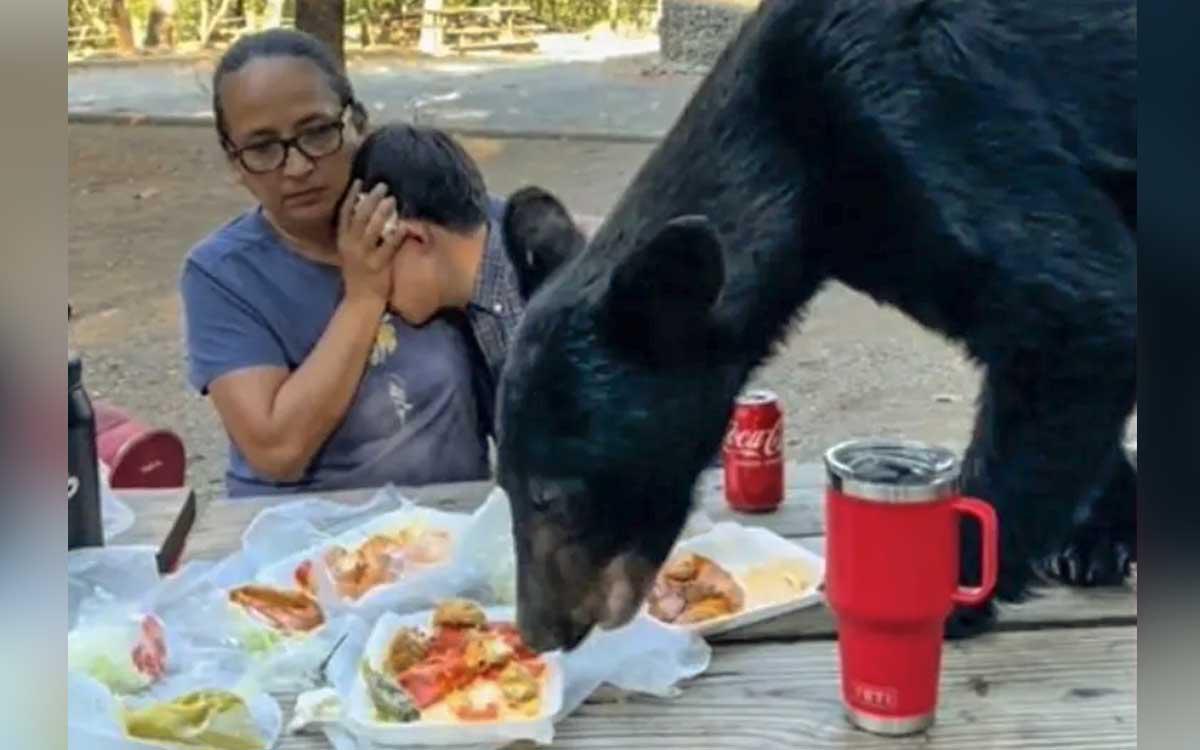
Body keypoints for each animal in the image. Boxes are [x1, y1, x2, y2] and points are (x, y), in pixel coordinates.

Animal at [495, 0, 1137, 652]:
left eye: (552, 495)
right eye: (505, 484)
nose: (539, 632)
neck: (797, 156)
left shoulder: (935, 124)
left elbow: (1076, 311)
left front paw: (944, 592)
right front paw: (1097, 533)